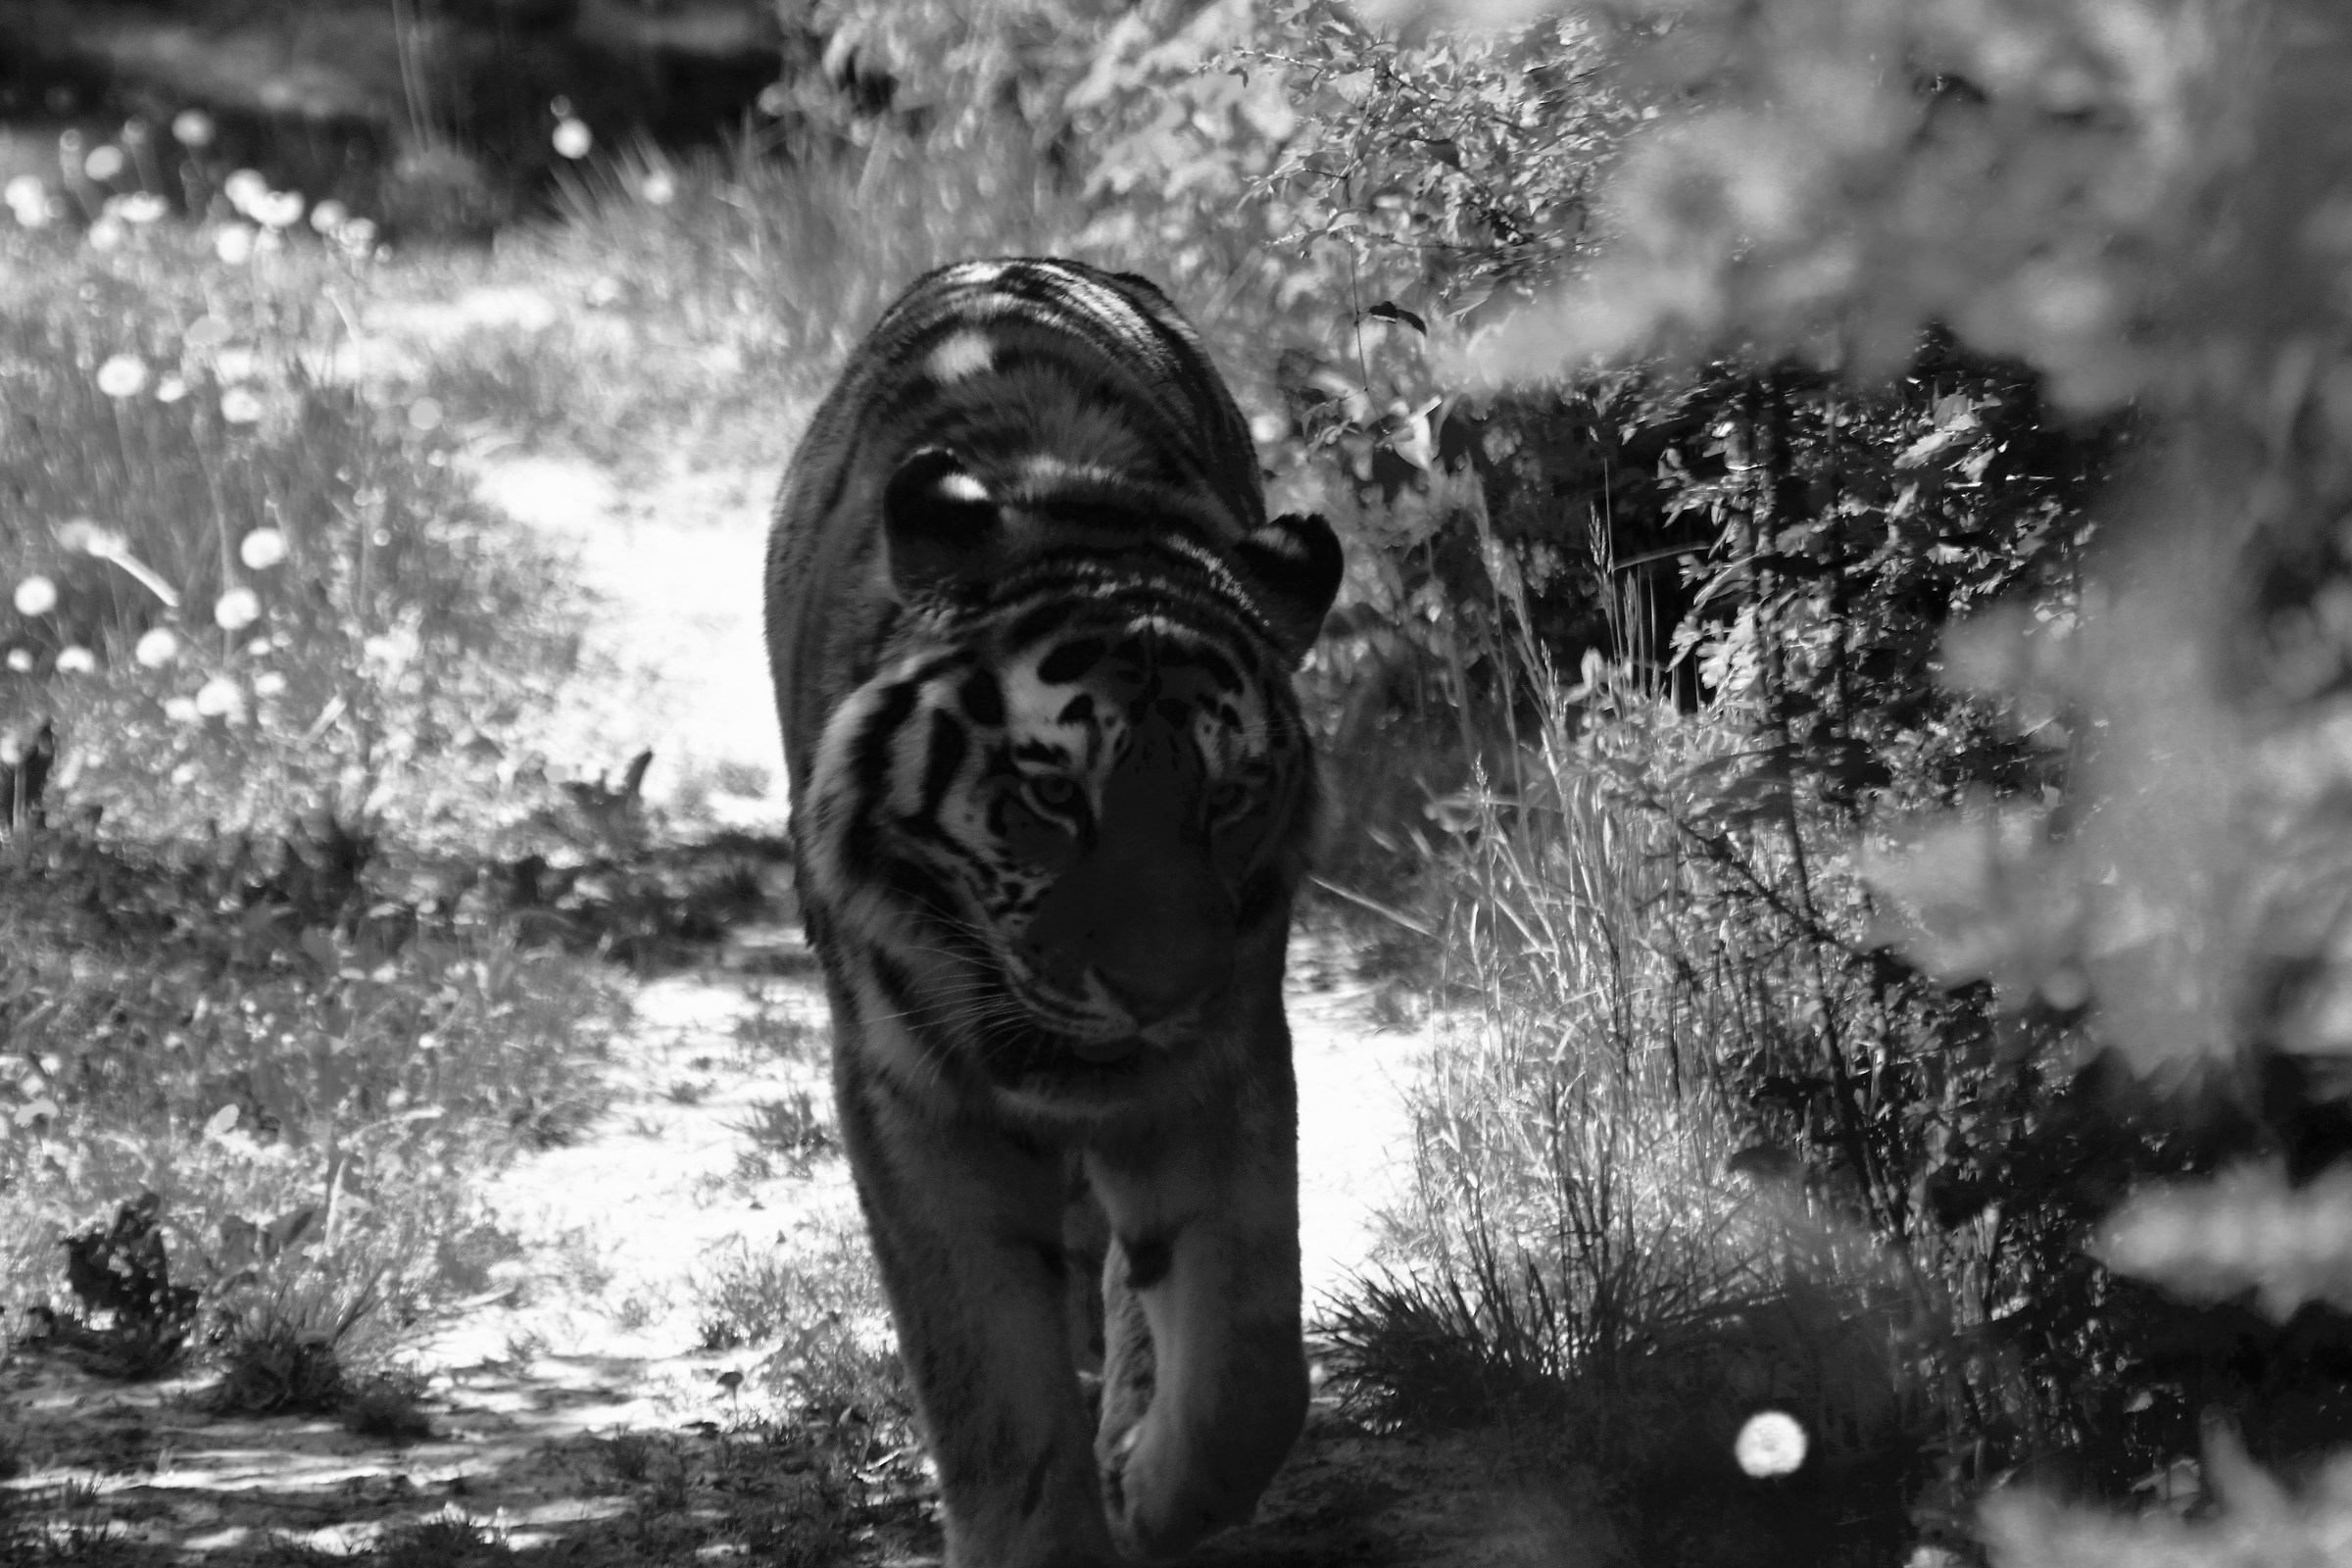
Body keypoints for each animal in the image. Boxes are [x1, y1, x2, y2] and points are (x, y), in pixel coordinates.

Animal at [763, 257, 1343, 1566]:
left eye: (1229, 798)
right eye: (1050, 796)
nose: (1159, 989)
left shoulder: (1221, 1058)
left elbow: (1249, 1358)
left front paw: (1155, 1486)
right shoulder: (911, 1097)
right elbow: (990, 1387)